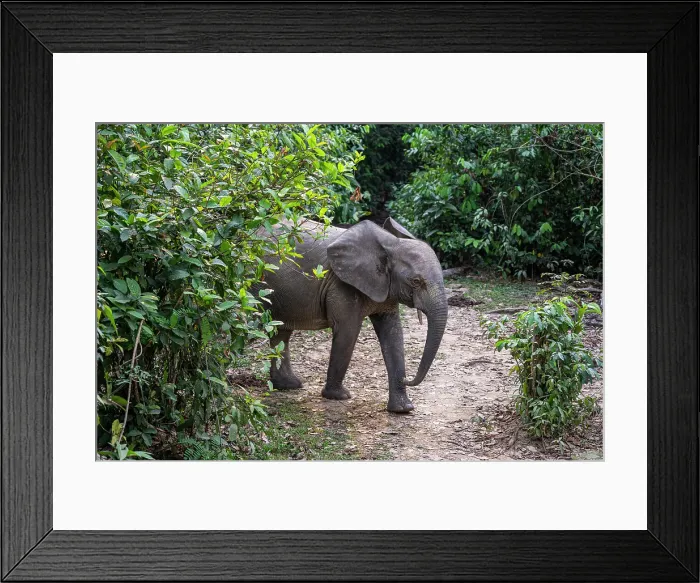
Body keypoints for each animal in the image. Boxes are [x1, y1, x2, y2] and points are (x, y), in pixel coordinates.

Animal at [253, 217, 448, 413]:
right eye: (416, 281)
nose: (407, 380)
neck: (390, 244)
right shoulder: (341, 285)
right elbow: (348, 331)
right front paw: (338, 396)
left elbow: (393, 333)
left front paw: (402, 409)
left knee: (281, 332)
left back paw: (288, 385)